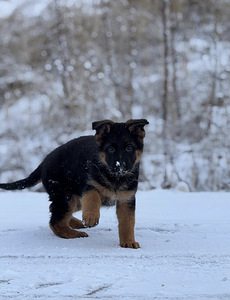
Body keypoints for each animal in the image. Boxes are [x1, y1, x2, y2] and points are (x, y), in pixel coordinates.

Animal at [0, 119, 148, 248]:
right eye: (110, 149)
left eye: (129, 148)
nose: (120, 166)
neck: (115, 177)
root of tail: (44, 162)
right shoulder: (90, 185)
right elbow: (93, 197)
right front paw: (91, 217)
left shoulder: (126, 199)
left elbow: (127, 222)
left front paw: (128, 242)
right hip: (66, 196)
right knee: (55, 222)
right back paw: (74, 233)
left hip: (74, 199)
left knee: (53, 209)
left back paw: (76, 224)